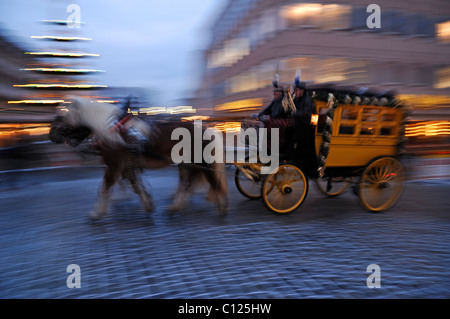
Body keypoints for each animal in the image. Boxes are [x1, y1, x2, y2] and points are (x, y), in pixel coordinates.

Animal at [49, 97, 229, 221]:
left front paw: (97, 212)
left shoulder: (114, 165)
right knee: (186, 184)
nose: (51, 135)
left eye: (62, 116)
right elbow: (135, 185)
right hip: (186, 164)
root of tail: (205, 129)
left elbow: (105, 187)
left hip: (200, 163)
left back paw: (221, 207)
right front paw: (148, 204)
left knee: (211, 181)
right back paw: (175, 207)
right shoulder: (126, 165)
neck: (111, 131)